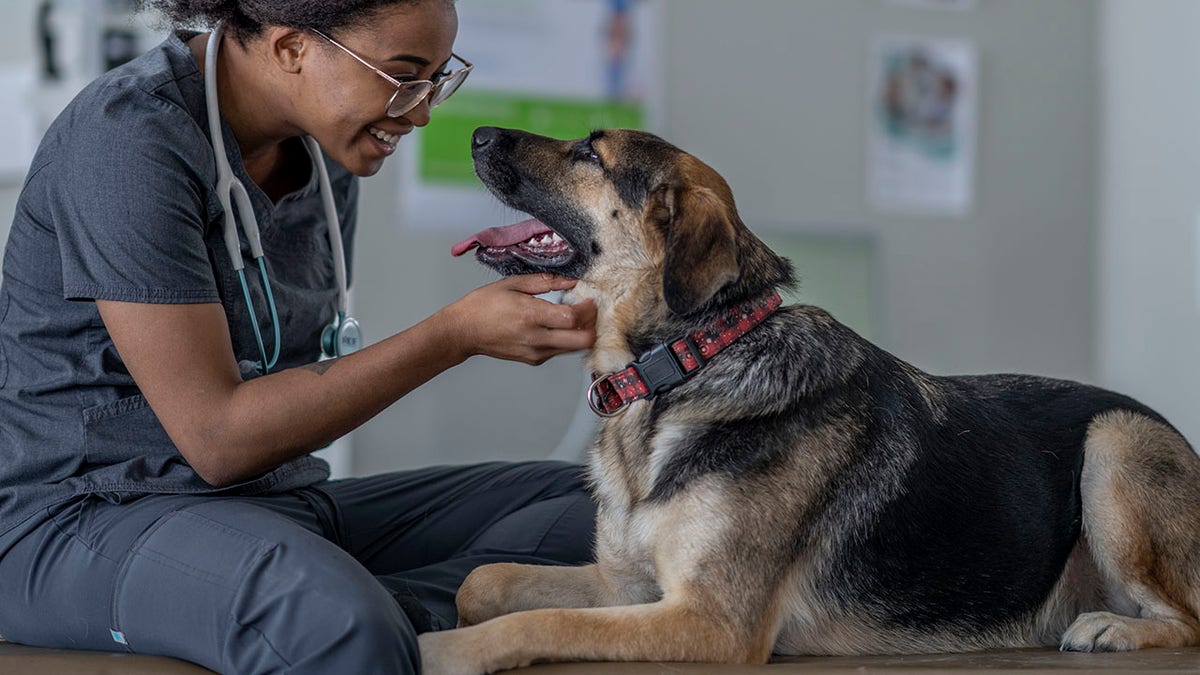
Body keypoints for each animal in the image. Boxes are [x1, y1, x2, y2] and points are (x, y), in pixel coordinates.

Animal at [422, 127, 1200, 672]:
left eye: (591, 151)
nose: (477, 134)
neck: (688, 363)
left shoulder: (711, 619)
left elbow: (539, 621)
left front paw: (439, 651)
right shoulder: (629, 587)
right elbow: (482, 582)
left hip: (1116, 440)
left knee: (1189, 617)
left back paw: (1113, 627)